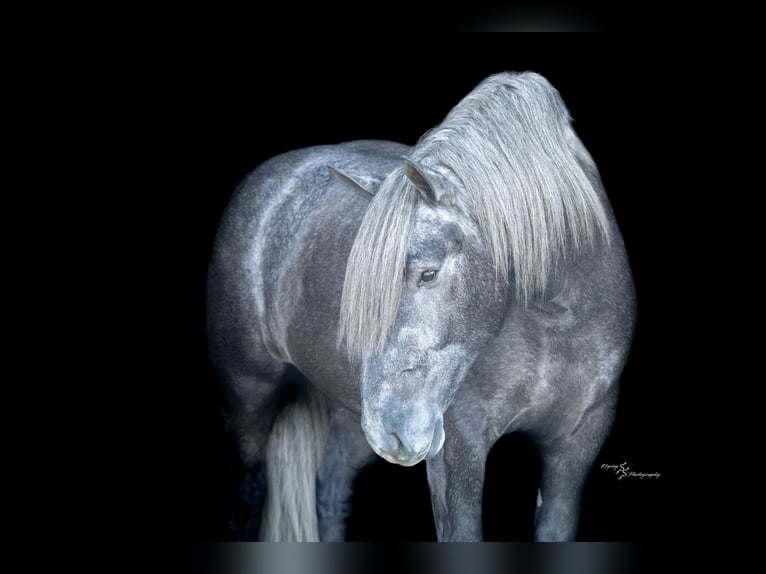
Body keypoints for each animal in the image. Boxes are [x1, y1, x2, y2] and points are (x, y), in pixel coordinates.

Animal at [207, 71, 636, 541]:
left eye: (428, 274)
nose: (393, 431)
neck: (557, 322)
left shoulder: (575, 447)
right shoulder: (459, 450)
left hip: (349, 420)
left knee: (331, 491)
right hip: (249, 396)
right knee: (247, 495)